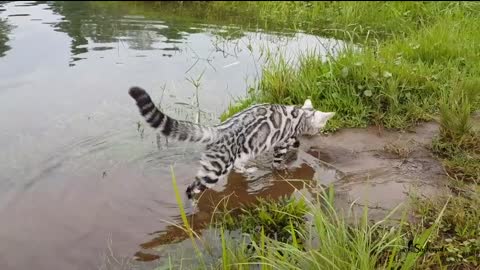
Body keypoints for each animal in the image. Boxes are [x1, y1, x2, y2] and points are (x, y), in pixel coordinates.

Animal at [129, 86, 336, 200]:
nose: (319, 132)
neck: (299, 114)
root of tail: (217, 129)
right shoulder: (282, 142)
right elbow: (278, 162)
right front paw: (282, 169)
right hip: (215, 170)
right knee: (192, 187)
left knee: (234, 167)